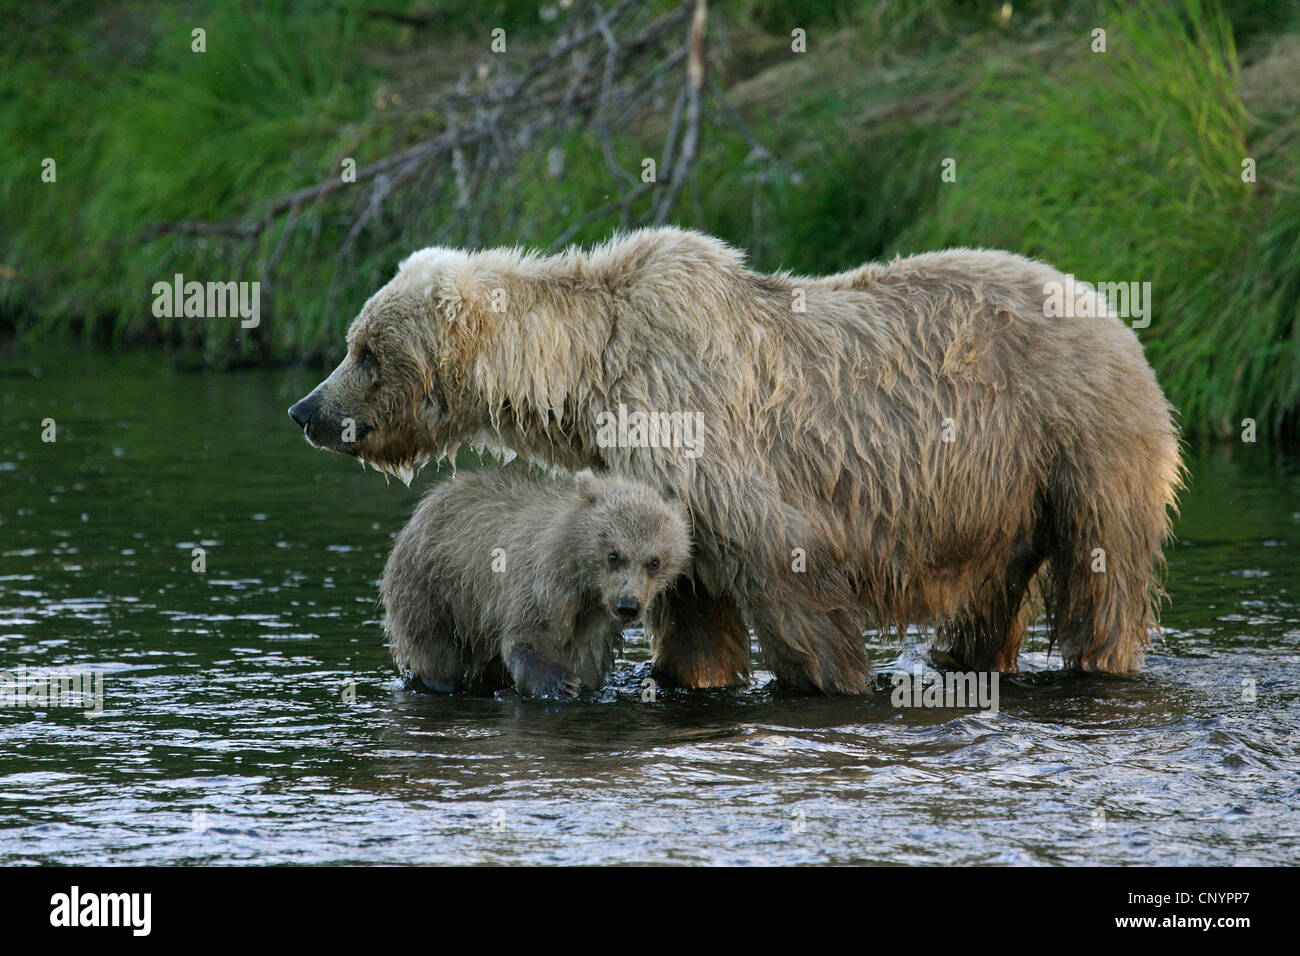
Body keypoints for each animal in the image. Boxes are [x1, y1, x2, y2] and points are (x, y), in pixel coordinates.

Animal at [289, 230, 1185, 697]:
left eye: (366, 352)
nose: (308, 412)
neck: (589, 373)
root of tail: (1112, 308)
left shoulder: (698, 426)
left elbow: (786, 566)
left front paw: (830, 678)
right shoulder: (657, 485)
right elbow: (692, 605)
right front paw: (695, 674)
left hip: (1078, 439)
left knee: (1105, 573)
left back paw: (1099, 659)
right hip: (1005, 495)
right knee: (992, 599)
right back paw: (962, 659)